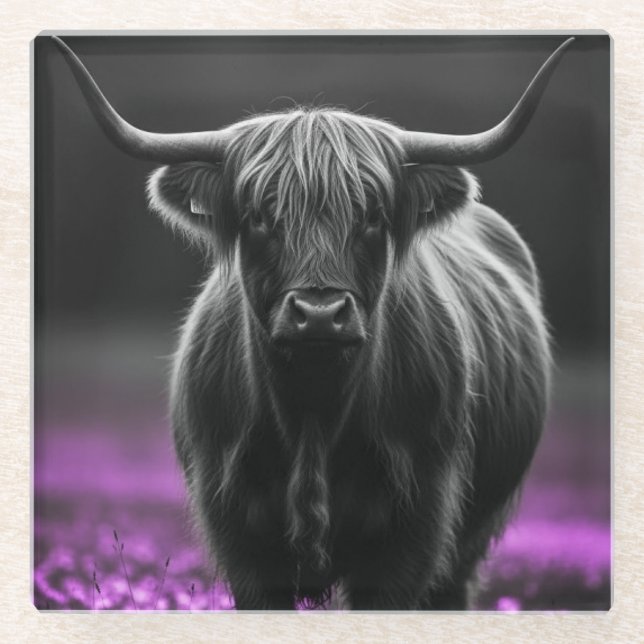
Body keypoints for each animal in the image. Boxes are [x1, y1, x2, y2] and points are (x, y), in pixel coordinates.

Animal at [53, 36, 572, 610]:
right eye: (258, 215)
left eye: (372, 215)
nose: (320, 315)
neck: (312, 417)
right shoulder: (242, 543)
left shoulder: (409, 539)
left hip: (466, 546)